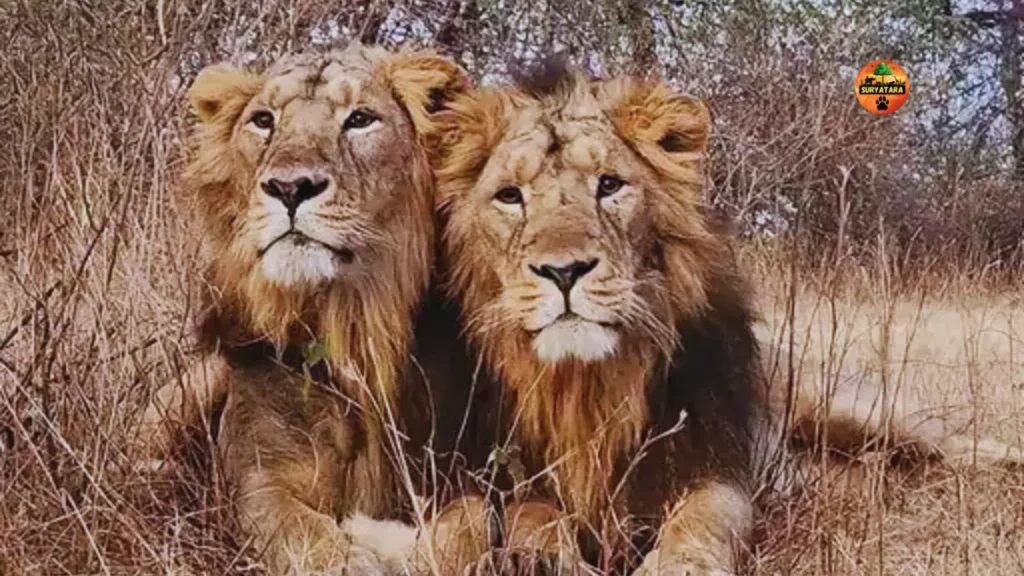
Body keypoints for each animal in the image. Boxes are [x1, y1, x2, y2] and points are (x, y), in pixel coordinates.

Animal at [142, 44, 470, 575]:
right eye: (263, 120)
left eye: (360, 119)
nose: (290, 187)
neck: (349, 326)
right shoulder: (259, 482)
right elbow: (300, 531)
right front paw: (358, 555)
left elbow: (475, 523)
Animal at [424, 59, 1024, 575]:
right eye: (510, 196)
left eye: (609, 185)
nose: (564, 270)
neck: (585, 388)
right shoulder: (495, 472)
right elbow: (531, 513)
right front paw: (538, 556)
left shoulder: (713, 462)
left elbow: (701, 522)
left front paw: (681, 566)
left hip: (842, 406)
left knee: (952, 442)